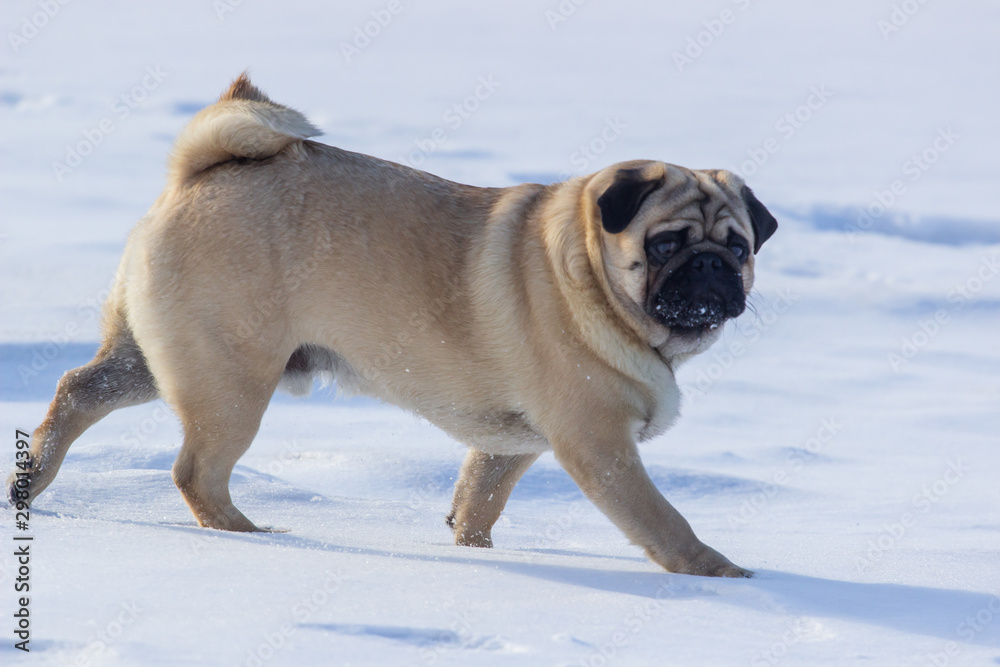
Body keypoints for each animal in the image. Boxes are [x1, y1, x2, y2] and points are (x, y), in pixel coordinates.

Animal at [7, 75, 776, 580]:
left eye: (739, 248)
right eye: (667, 243)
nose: (711, 270)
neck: (588, 273)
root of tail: (202, 172)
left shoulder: (512, 441)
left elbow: (478, 497)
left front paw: (471, 551)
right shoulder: (599, 443)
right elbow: (660, 516)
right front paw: (716, 572)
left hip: (149, 357)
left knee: (79, 390)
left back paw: (32, 481)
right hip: (231, 380)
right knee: (196, 472)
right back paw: (251, 535)